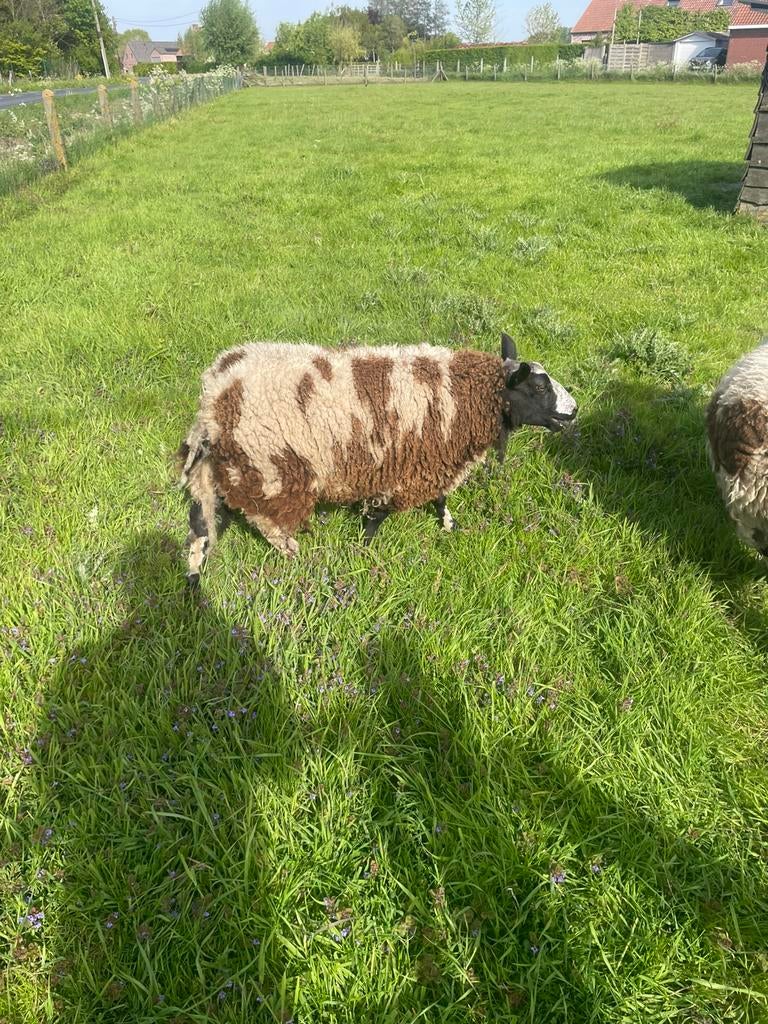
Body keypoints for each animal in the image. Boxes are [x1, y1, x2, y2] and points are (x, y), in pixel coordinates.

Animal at [178, 333, 578, 584]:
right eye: (538, 387)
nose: (573, 411)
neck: (462, 397)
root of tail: (212, 400)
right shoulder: (402, 468)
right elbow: (380, 514)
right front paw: (365, 550)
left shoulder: (430, 461)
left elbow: (440, 497)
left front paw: (448, 523)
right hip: (271, 468)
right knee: (264, 519)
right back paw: (292, 552)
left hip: (233, 467)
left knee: (203, 521)